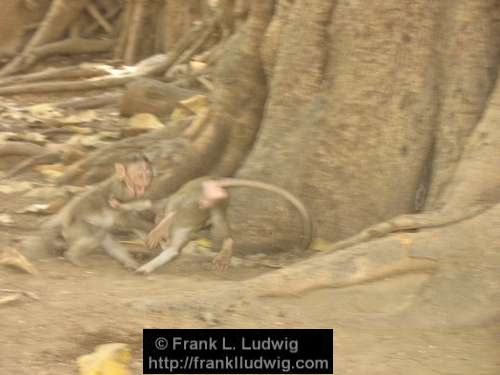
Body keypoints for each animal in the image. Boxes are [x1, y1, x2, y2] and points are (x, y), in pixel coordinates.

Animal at [133, 178, 312, 274]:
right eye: (163, 242)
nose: (163, 241)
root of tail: (214, 180)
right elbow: (171, 250)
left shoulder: (181, 226)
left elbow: (172, 249)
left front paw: (145, 266)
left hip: (202, 200)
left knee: (208, 216)